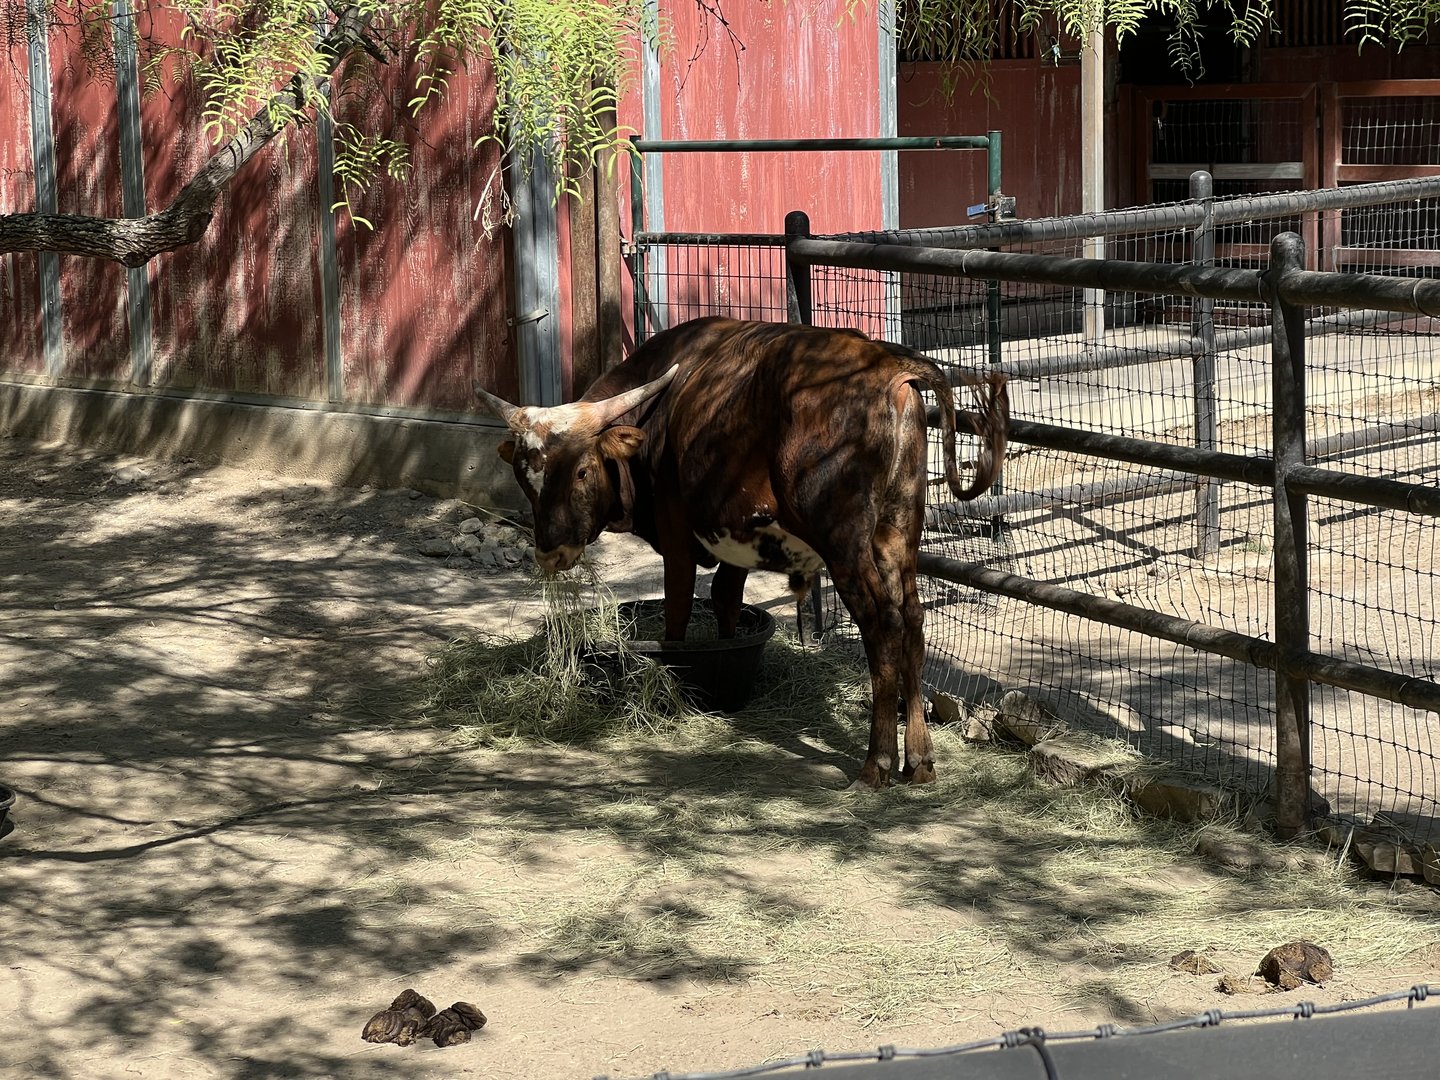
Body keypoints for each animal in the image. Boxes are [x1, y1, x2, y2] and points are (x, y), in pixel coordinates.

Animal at [475, 317, 1007, 790]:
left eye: (583, 471)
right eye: (524, 476)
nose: (550, 553)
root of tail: (884, 361)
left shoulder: (676, 540)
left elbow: (677, 615)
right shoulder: (734, 546)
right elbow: (727, 607)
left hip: (845, 544)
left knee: (883, 623)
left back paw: (876, 763)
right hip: (897, 534)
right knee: (912, 620)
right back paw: (919, 760)